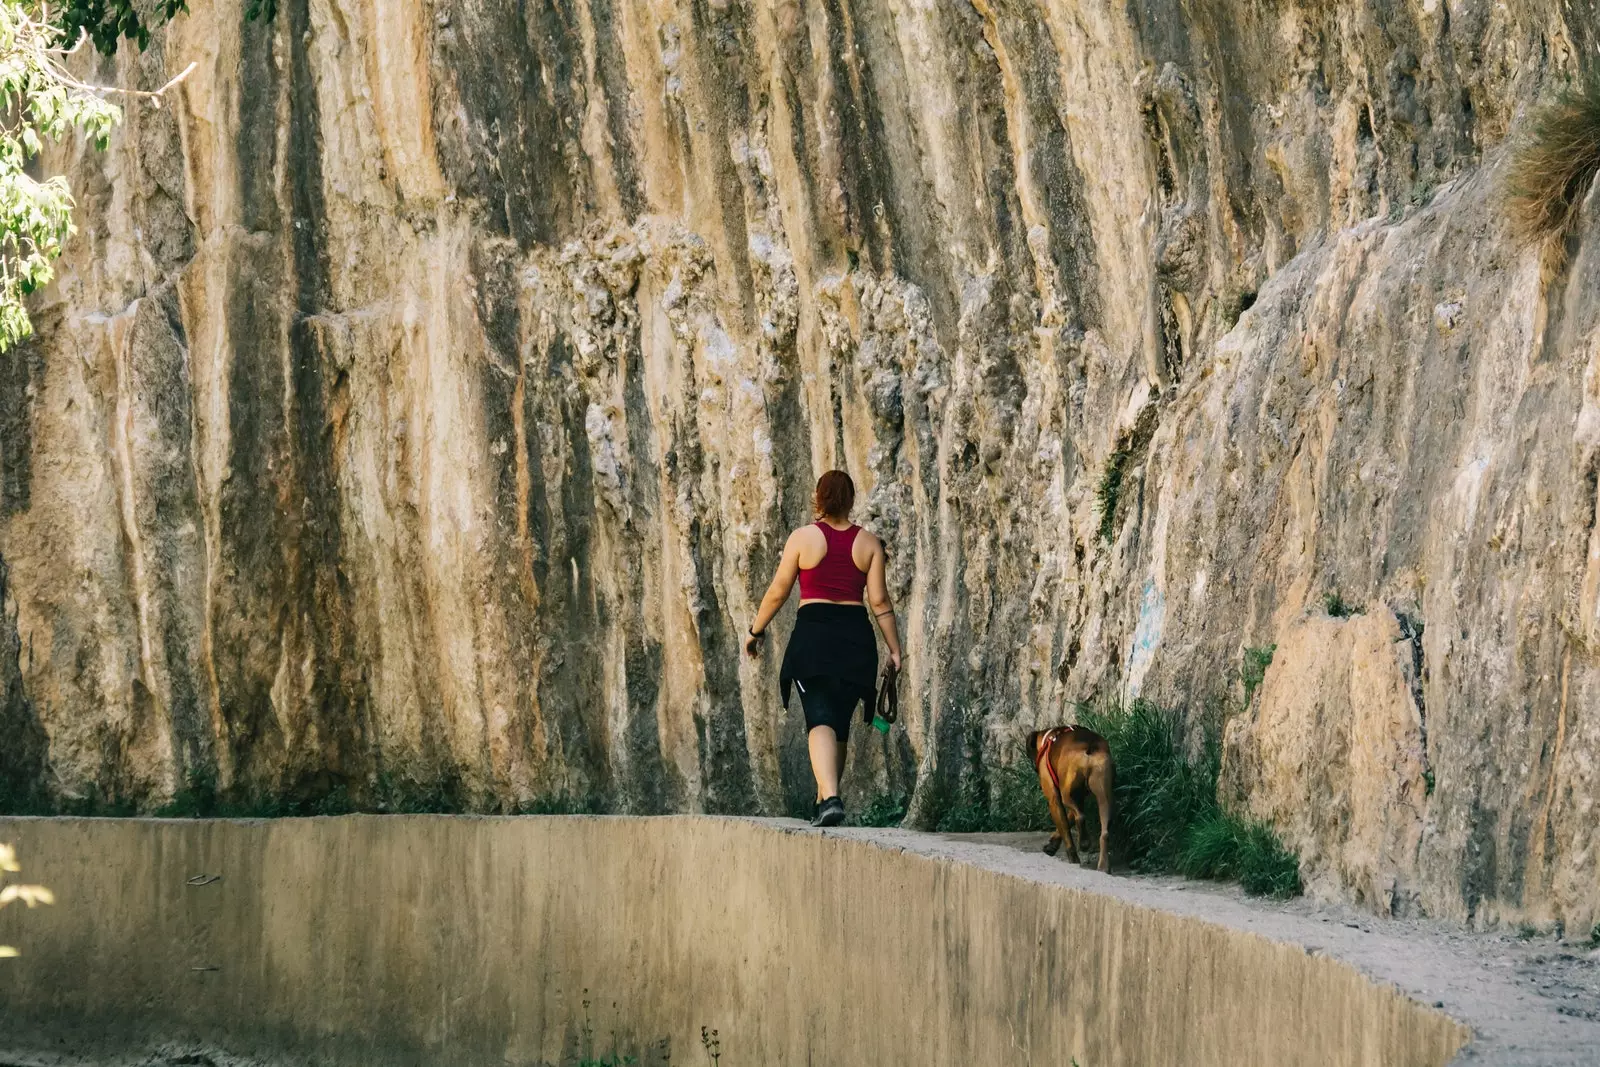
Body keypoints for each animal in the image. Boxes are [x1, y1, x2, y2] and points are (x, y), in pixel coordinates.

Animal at [1024, 726, 1113, 876]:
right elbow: (1068, 820)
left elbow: (1064, 828)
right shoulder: (1080, 799)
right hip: (1104, 795)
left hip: (1067, 793)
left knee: (1080, 817)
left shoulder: (1054, 800)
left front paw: (1070, 855)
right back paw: (1103, 866)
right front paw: (1052, 844)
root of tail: (1090, 745)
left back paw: (1083, 844)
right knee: (1104, 832)